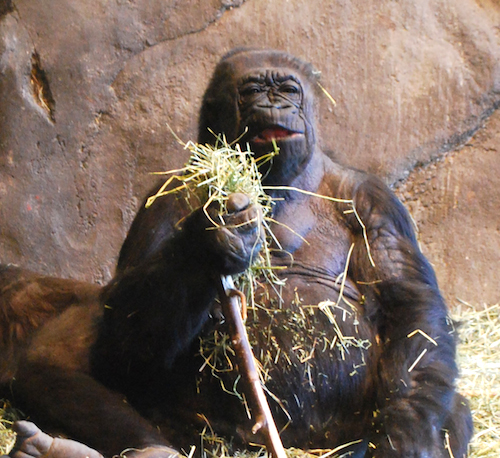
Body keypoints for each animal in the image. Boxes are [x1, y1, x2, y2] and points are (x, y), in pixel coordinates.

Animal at [0, 49, 470, 458]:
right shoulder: (163, 197)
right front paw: (209, 242)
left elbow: (410, 313)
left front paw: (407, 439)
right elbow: (121, 341)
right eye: (252, 91)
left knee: (445, 404)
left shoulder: (374, 201)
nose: (273, 104)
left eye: (289, 90)